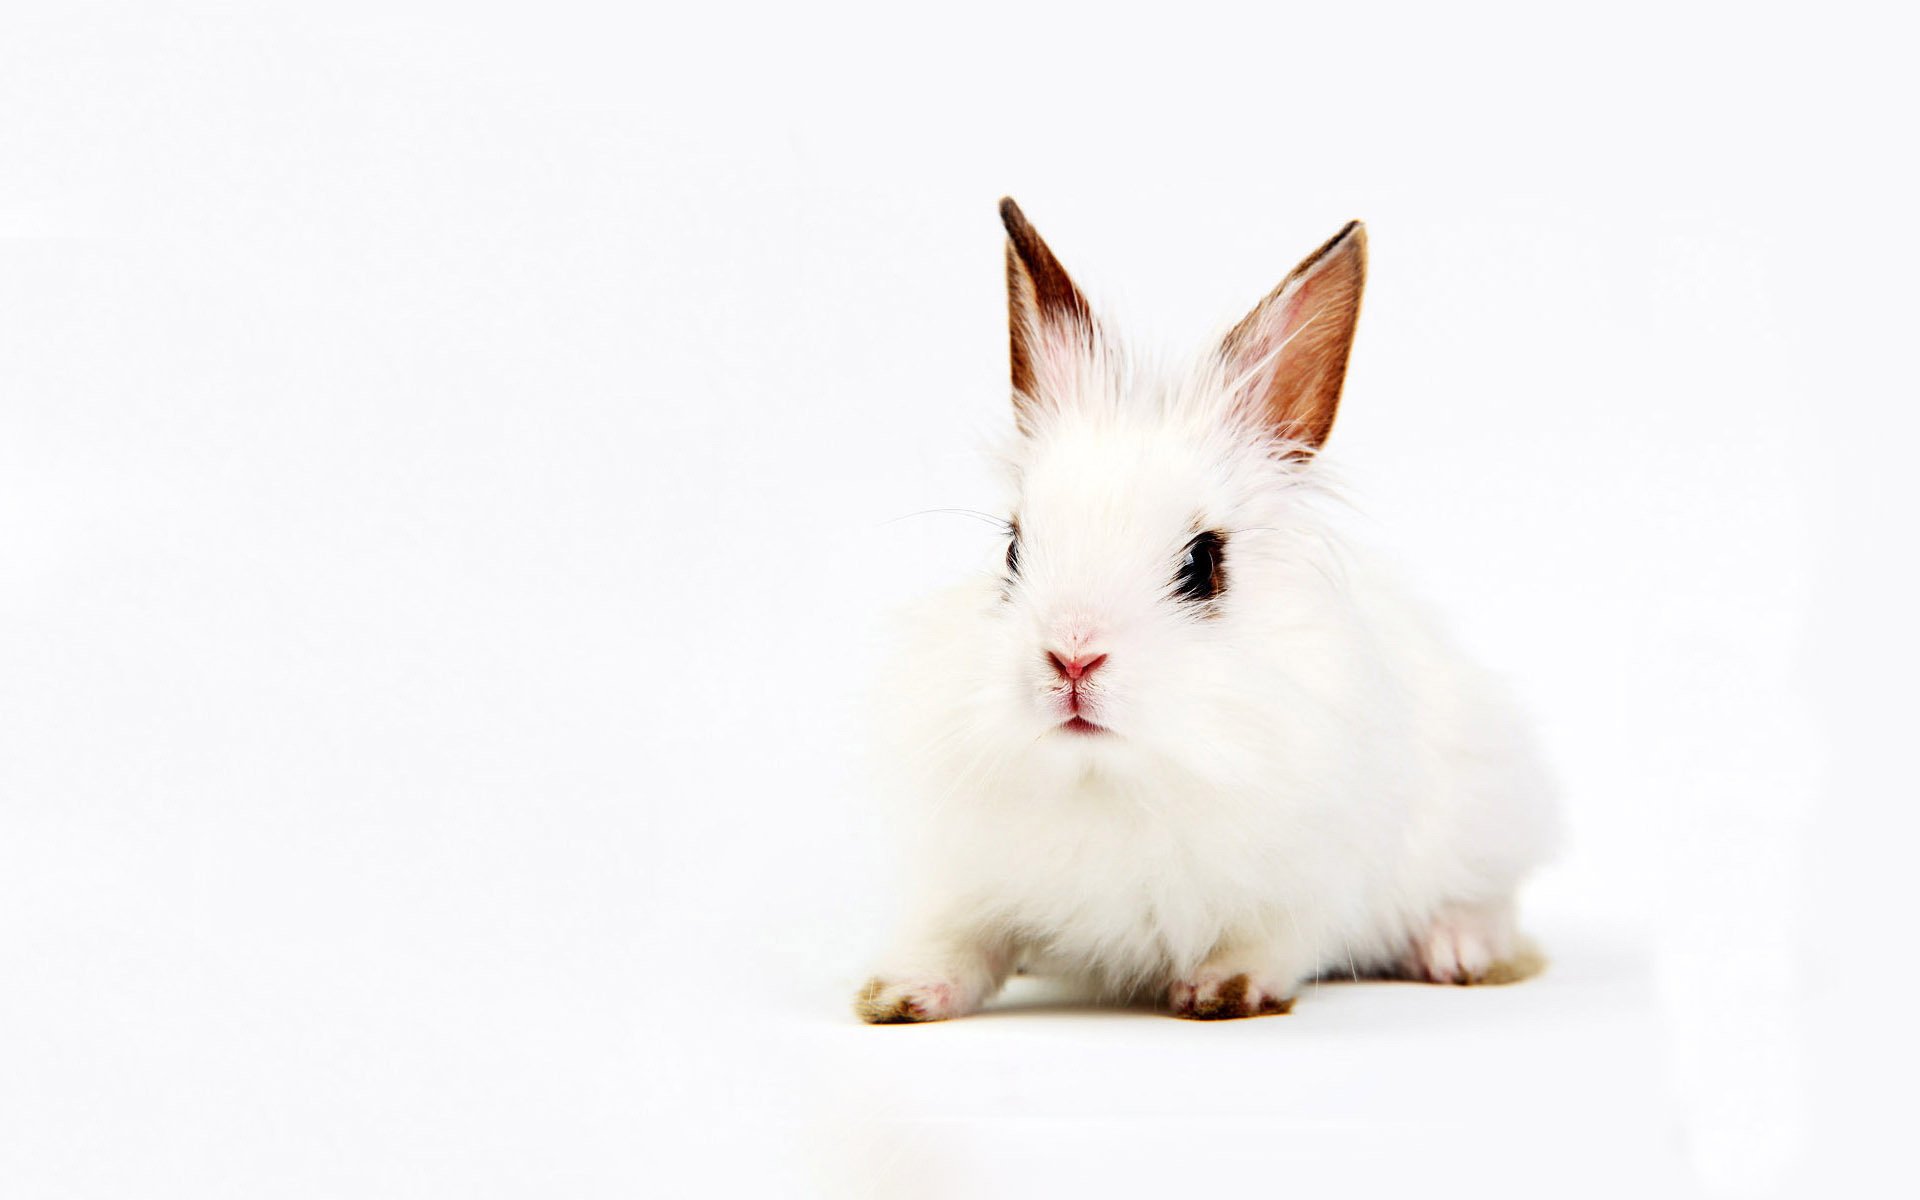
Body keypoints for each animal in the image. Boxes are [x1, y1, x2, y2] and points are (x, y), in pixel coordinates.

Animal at [854, 199, 1559, 1023]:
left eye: (1202, 564)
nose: (1072, 657)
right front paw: (898, 994)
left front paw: (1223, 988)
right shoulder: (973, 883)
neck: (1112, 780)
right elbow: (960, 942)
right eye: (1013, 552)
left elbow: (1278, 940)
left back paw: (1457, 951)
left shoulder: (1315, 885)